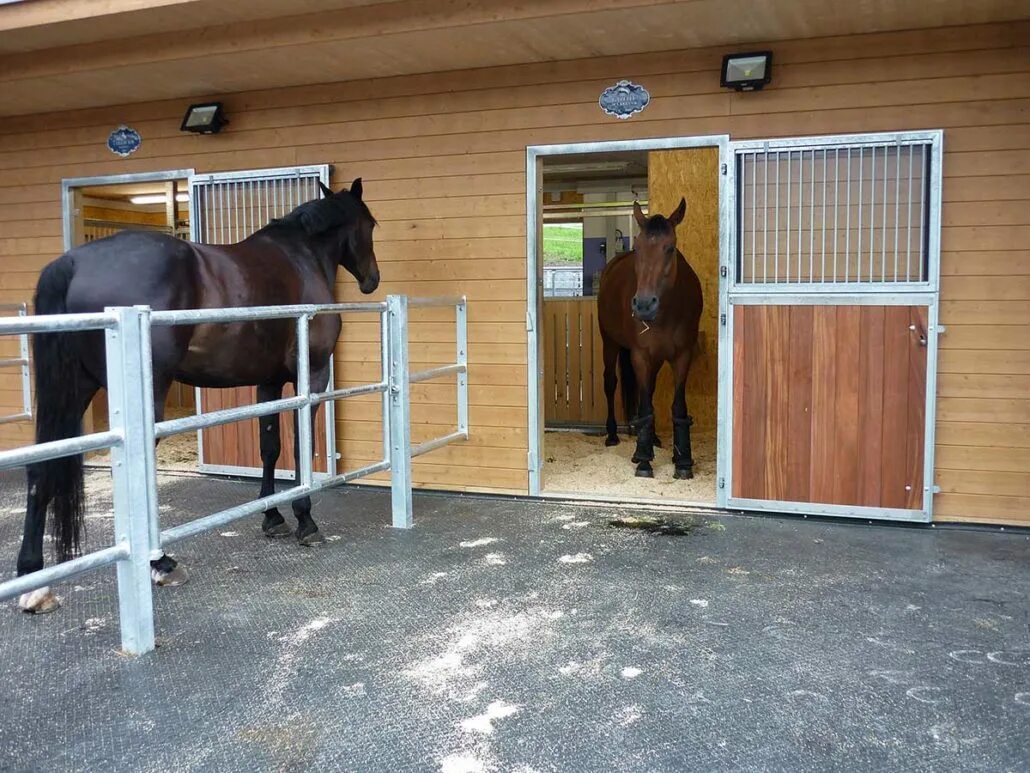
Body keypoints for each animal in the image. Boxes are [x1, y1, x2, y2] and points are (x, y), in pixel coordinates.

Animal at [16, 178, 381, 614]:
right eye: (371, 225)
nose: (372, 279)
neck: (301, 257)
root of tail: (73, 263)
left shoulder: (269, 383)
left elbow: (270, 447)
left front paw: (272, 518)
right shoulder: (311, 376)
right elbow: (299, 449)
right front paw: (305, 521)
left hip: (74, 390)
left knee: (42, 466)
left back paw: (33, 582)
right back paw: (160, 563)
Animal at [597, 197, 700, 478]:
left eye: (670, 248)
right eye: (639, 249)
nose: (643, 305)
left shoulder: (683, 356)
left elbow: (677, 406)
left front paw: (683, 462)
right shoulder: (640, 356)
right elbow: (644, 406)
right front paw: (644, 461)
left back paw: (651, 439)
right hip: (610, 343)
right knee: (610, 383)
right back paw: (613, 436)